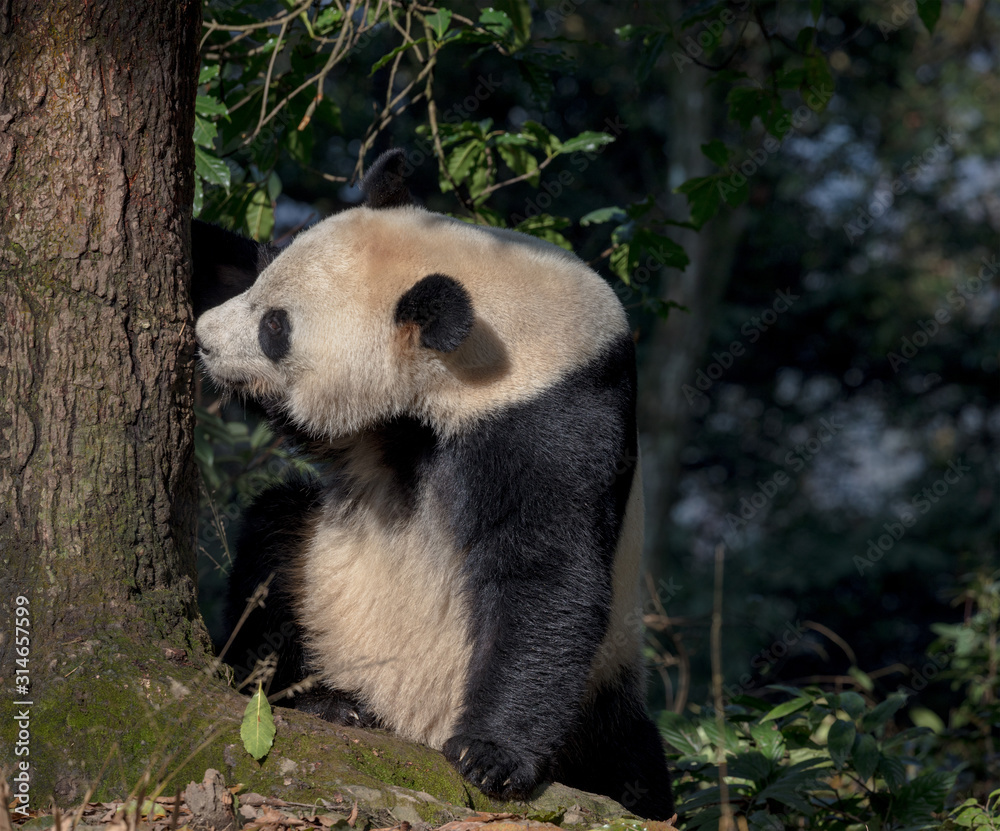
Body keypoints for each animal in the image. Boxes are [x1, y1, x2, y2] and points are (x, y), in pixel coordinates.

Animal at [193, 149, 674, 820]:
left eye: (274, 328)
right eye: (262, 279)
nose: (204, 338)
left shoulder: (554, 417)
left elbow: (547, 571)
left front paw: (493, 756)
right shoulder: (385, 430)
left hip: (603, 684)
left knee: (633, 766)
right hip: (319, 587)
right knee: (277, 537)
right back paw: (322, 699)